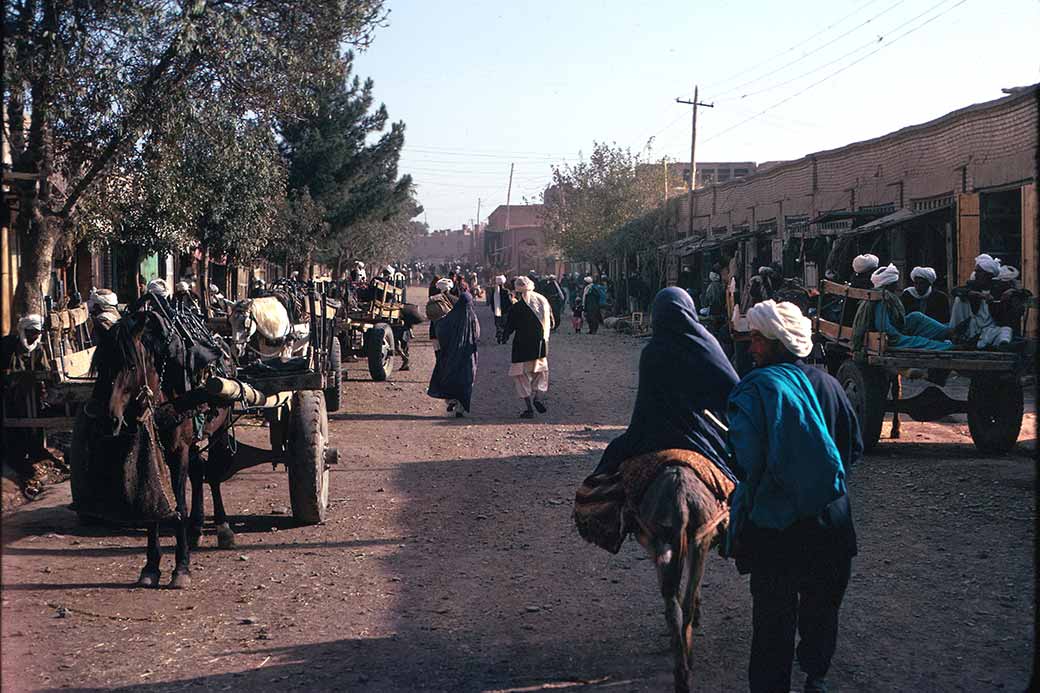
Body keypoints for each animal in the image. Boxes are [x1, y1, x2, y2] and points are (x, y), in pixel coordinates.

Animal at [81, 293, 239, 586]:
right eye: (100, 366)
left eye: (131, 365)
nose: (108, 421)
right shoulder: (154, 445)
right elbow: (152, 500)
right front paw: (151, 567)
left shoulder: (178, 449)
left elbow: (179, 504)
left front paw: (182, 568)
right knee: (198, 472)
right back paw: (196, 529)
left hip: (220, 429)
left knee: (211, 475)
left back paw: (223, 528)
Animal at [574, 445, 736, 686]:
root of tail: (680, 496)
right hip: (690, 542)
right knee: (681, 604)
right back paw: (685, 661)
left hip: (664, 543)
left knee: (674, 603)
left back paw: (681, 666)